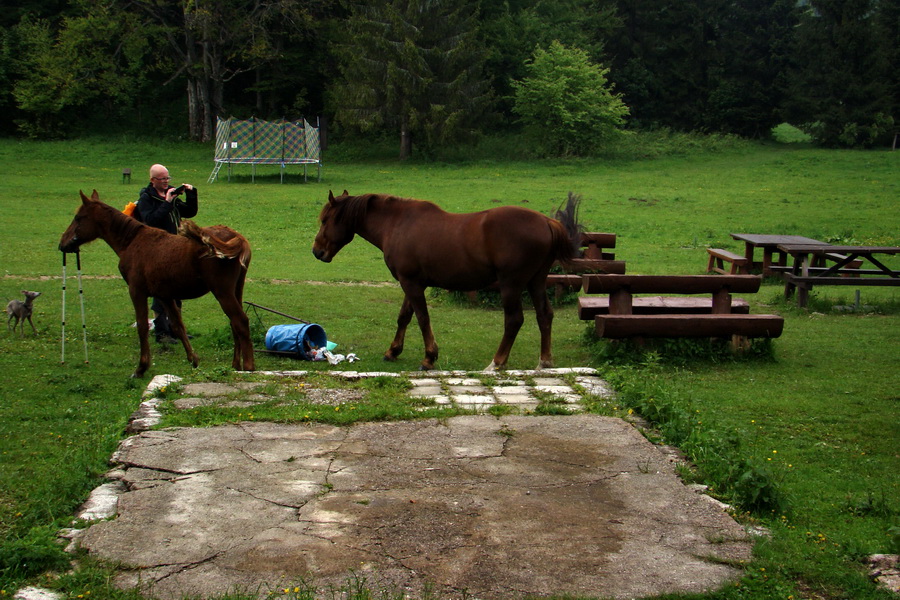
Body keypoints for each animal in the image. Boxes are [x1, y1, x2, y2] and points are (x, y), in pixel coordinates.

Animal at [59, 190, 256, 378]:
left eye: (78, 217)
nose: (62, 243)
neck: (131, 241)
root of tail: (237, 237)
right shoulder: (164, 295)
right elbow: (177, 325)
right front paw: (193, 360)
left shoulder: (136, 291)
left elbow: (142, 326)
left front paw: (141, 368)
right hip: (236, 290)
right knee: (234, 324)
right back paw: (235, 366)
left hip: (222, 292)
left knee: (240, 321)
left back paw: (248, 367)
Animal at [312, 192, 584, 370]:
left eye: (325, 220)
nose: (317, 252)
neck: (397, 224)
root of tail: (547, 221)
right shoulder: (412, 283)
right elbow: (404, 317)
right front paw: (393, 351)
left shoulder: (411, 283)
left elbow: (422, 319)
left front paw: (429, 358)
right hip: (536, 282)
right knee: (544, 315)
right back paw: (544, 361)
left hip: (511, 285)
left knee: (514, 320)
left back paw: (496, 363)